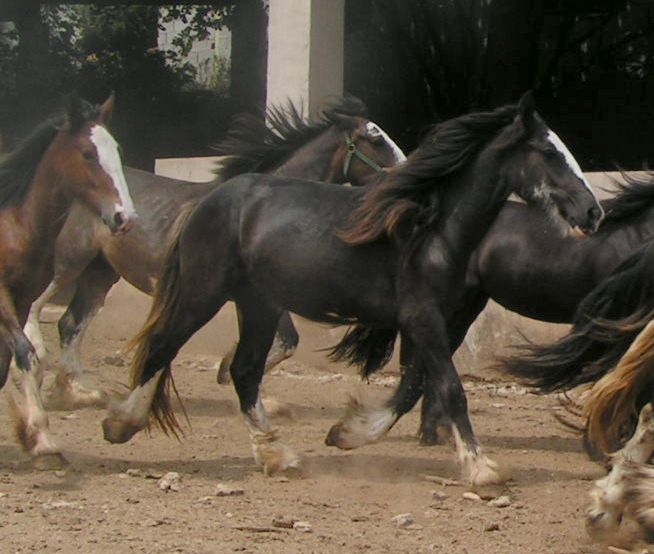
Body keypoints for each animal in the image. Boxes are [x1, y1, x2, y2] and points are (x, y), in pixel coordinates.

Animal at [0, 94, 135, 466]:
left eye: (117, 150)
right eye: (88, 153)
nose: (124, 217)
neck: (17, 226)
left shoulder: (23, 298)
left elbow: (15, 361)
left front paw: (36, 439)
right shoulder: (2, 295)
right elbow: (26, 354)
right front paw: (42, 440)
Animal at [25, 96, 404, 406]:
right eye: (375, 138)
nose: (404, 171)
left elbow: (285, 342)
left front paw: (228, 371)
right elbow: (286, 341)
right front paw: (226, 369)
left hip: (101, 272)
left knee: (71, 323)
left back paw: (77, 392)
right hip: (68, 261)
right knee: (37, 307)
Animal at [100, 94, 604, 484]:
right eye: (549, 152)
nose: (593, 212)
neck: (431, 231)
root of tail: (211, 200)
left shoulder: (436, 322)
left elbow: (414, 386)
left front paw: (348, 433)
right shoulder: (422, 318)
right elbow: (449, 387)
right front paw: (483, 469)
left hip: (258, 304)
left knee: (244, 370)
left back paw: (277, 456)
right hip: (204, 291)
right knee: (163, 346)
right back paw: (121, 424)